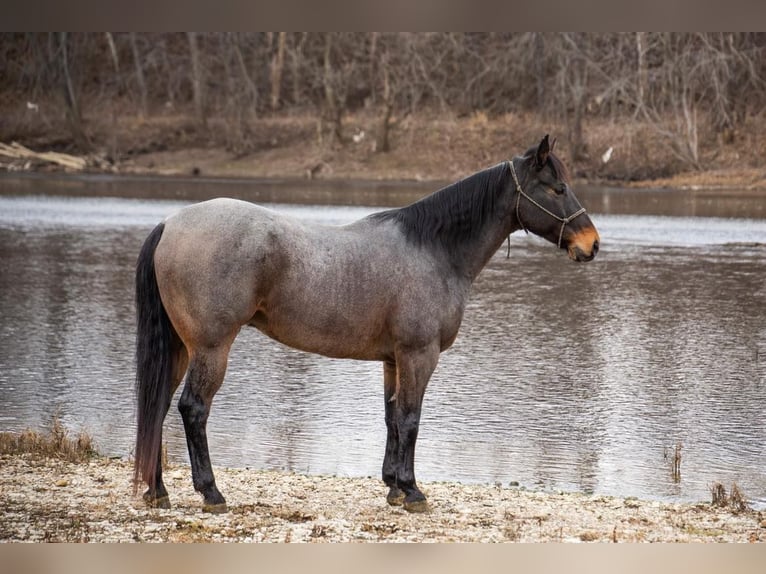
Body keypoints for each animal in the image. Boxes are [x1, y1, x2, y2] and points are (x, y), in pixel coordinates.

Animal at [135, 135, 604, 512]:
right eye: (557, 188)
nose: (592, 244)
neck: (434, 249)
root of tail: (170, 223)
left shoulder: (393, 359)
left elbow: (392, 418)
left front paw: (393, 487)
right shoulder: (419, 354)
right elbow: (411, 418)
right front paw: (412, 491)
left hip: (181, 348)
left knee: (159, 407)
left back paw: (158, 492)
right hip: (212, 348)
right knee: (193, 410)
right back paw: (211, 493)